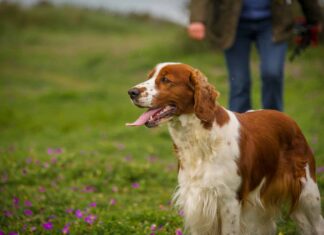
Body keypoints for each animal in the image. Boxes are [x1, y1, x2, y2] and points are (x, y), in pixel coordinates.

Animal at [127, 62, 324, 235]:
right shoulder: (196, 201)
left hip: (308, 192)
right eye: (150, 77)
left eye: (166, 79)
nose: (132, 92)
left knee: (318, 223)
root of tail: (290, 120)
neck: (199, 140)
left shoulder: (229, 202)